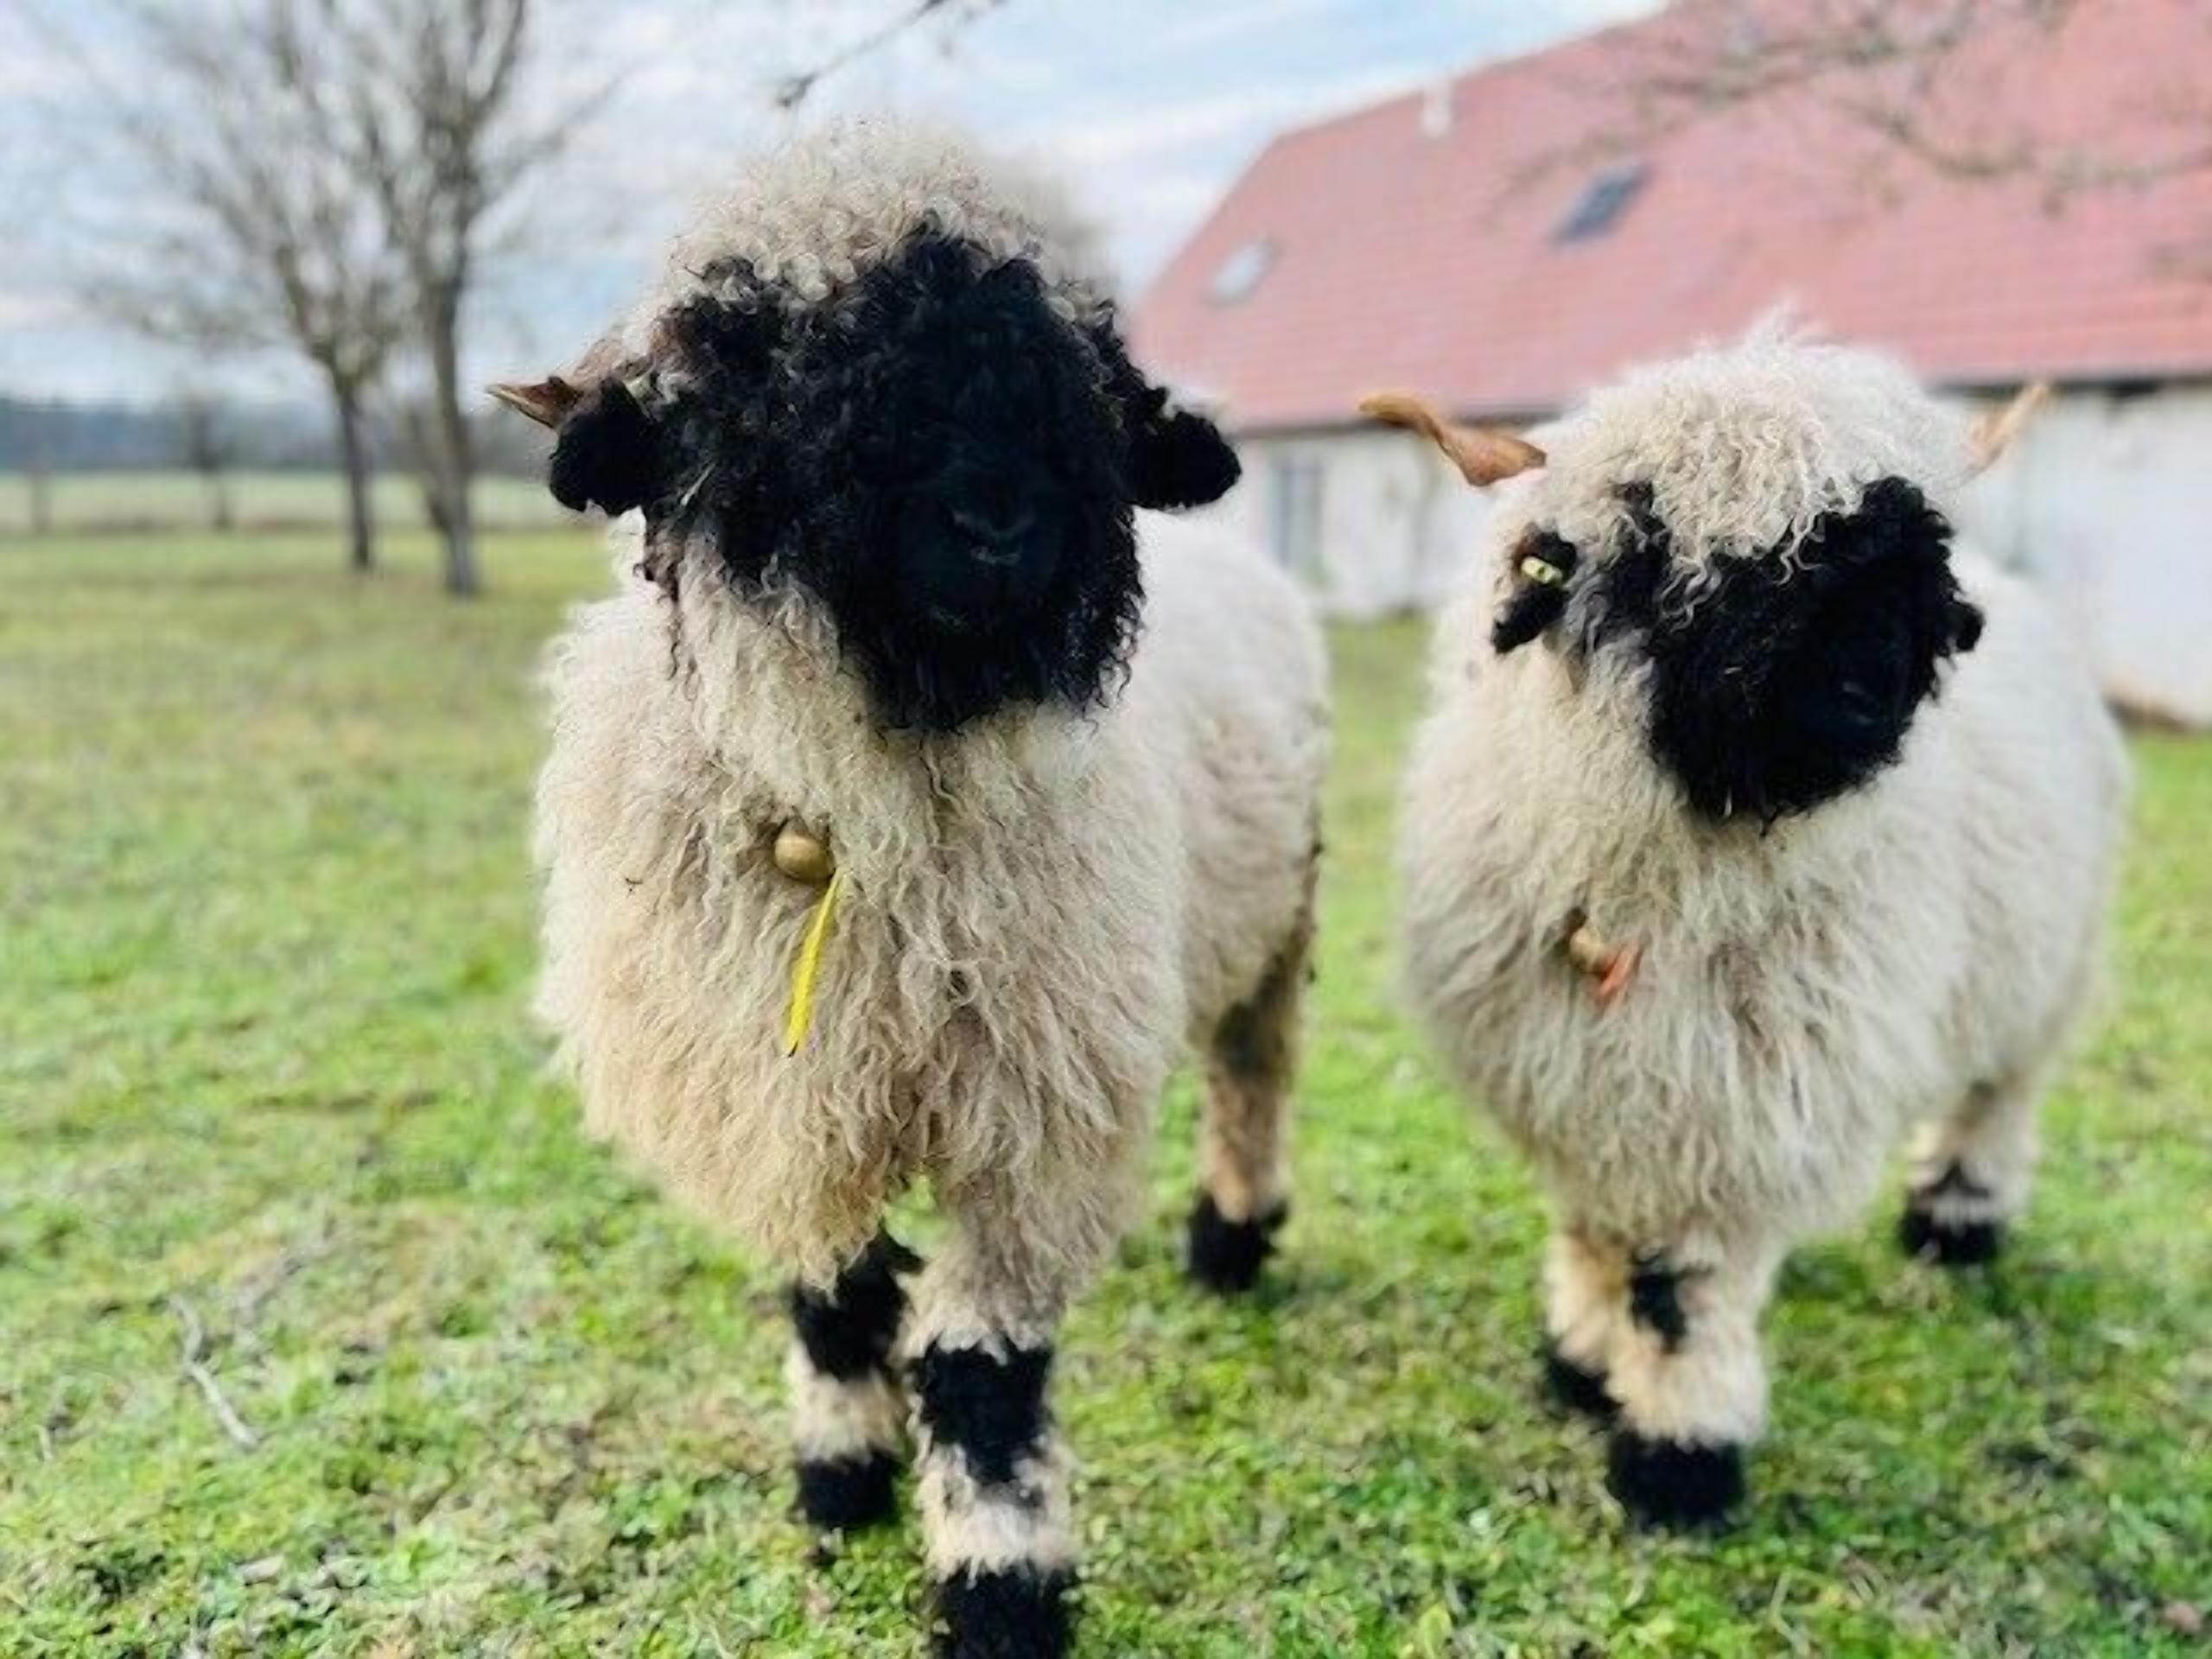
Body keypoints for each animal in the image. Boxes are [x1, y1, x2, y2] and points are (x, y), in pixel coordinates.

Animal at [492, 118, 1327, 1657]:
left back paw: (1232, 1238)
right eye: (754, 367)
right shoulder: (783, 1098)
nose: (997, 518)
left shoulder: (1029, 1127)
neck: (854, 820)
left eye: (1080, 377)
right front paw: (844, 1477)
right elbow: (834, 1299)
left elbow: (981, 1370)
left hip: (1275, 925)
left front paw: (1000, 1584)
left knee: (1252, 1075)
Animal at [1370, 327, 2126, 1528]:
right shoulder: (1574, 1076)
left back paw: (1957, 1218)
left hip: (2041, 972)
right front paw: (1581, 1359)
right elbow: (1598, 1234)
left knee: (1996, 1097)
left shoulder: (1738, 1103)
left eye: (1912, 560)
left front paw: (1677, 1455)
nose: (1864, 689)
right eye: (1653, 552)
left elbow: (1684, 1291)